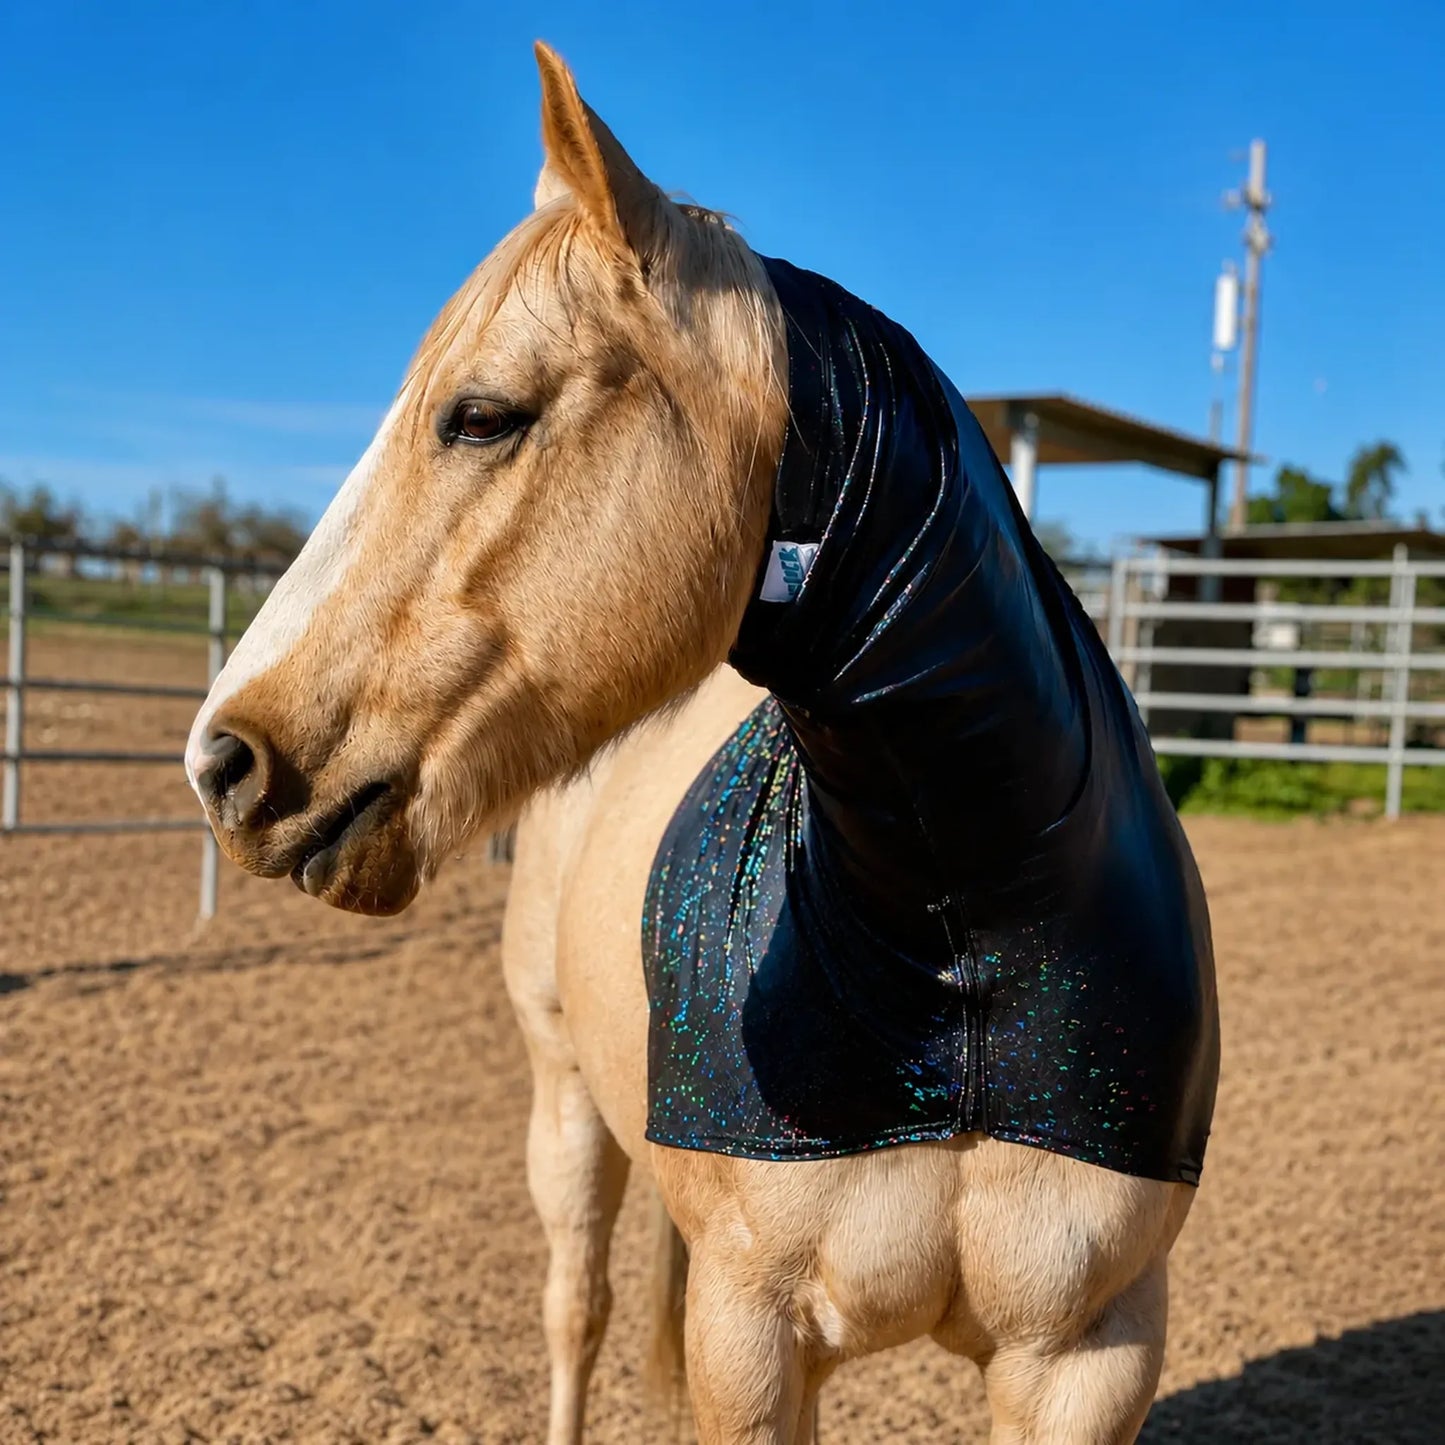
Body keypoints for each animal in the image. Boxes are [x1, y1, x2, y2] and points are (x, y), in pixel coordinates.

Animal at [187, 42, 1218, 1445]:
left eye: (480, 415)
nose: (224, 758)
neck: (956, 948)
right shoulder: (749, 1330)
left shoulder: (1086, 1357)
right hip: (565, 1104)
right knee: (575, 1309)